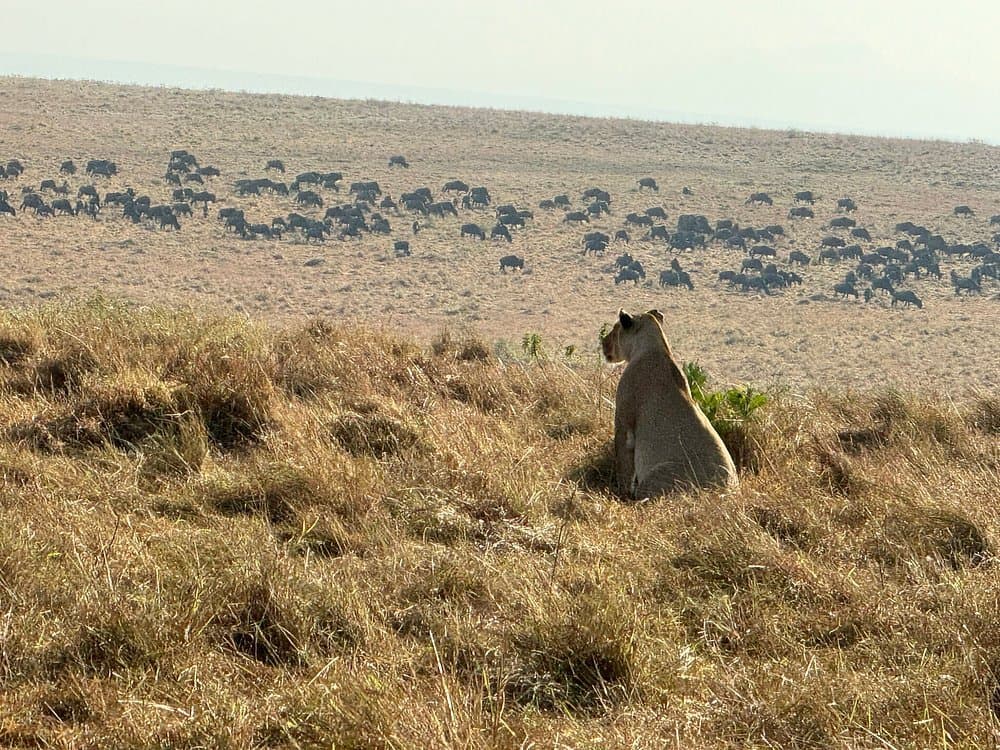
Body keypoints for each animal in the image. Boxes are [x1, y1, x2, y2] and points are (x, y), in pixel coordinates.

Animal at [602, 309, 739, 498]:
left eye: (615, 329)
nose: (603, 342)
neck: (655, 346)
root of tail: (727, 490)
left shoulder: (624, 418)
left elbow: (623, 461)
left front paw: (619, 493)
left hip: (656, 477)